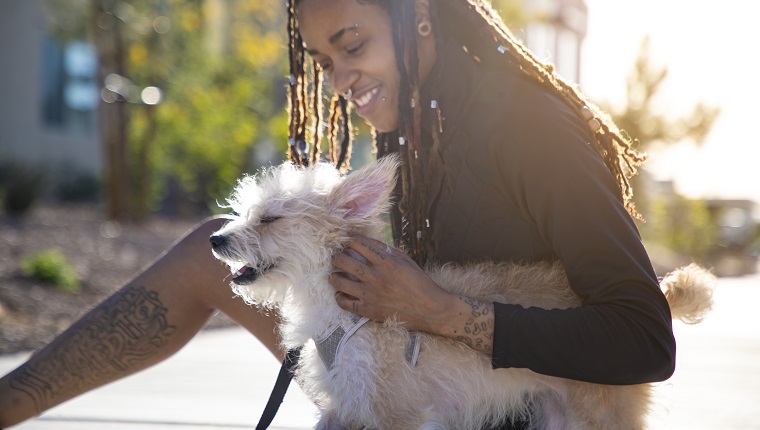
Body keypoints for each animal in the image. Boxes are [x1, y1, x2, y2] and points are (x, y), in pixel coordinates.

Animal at [211, 157, 716, 430]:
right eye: (248, 212)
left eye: (270, 219)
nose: (216, 239)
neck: (339, 309)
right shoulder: (347, 408)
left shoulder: (398, 413)